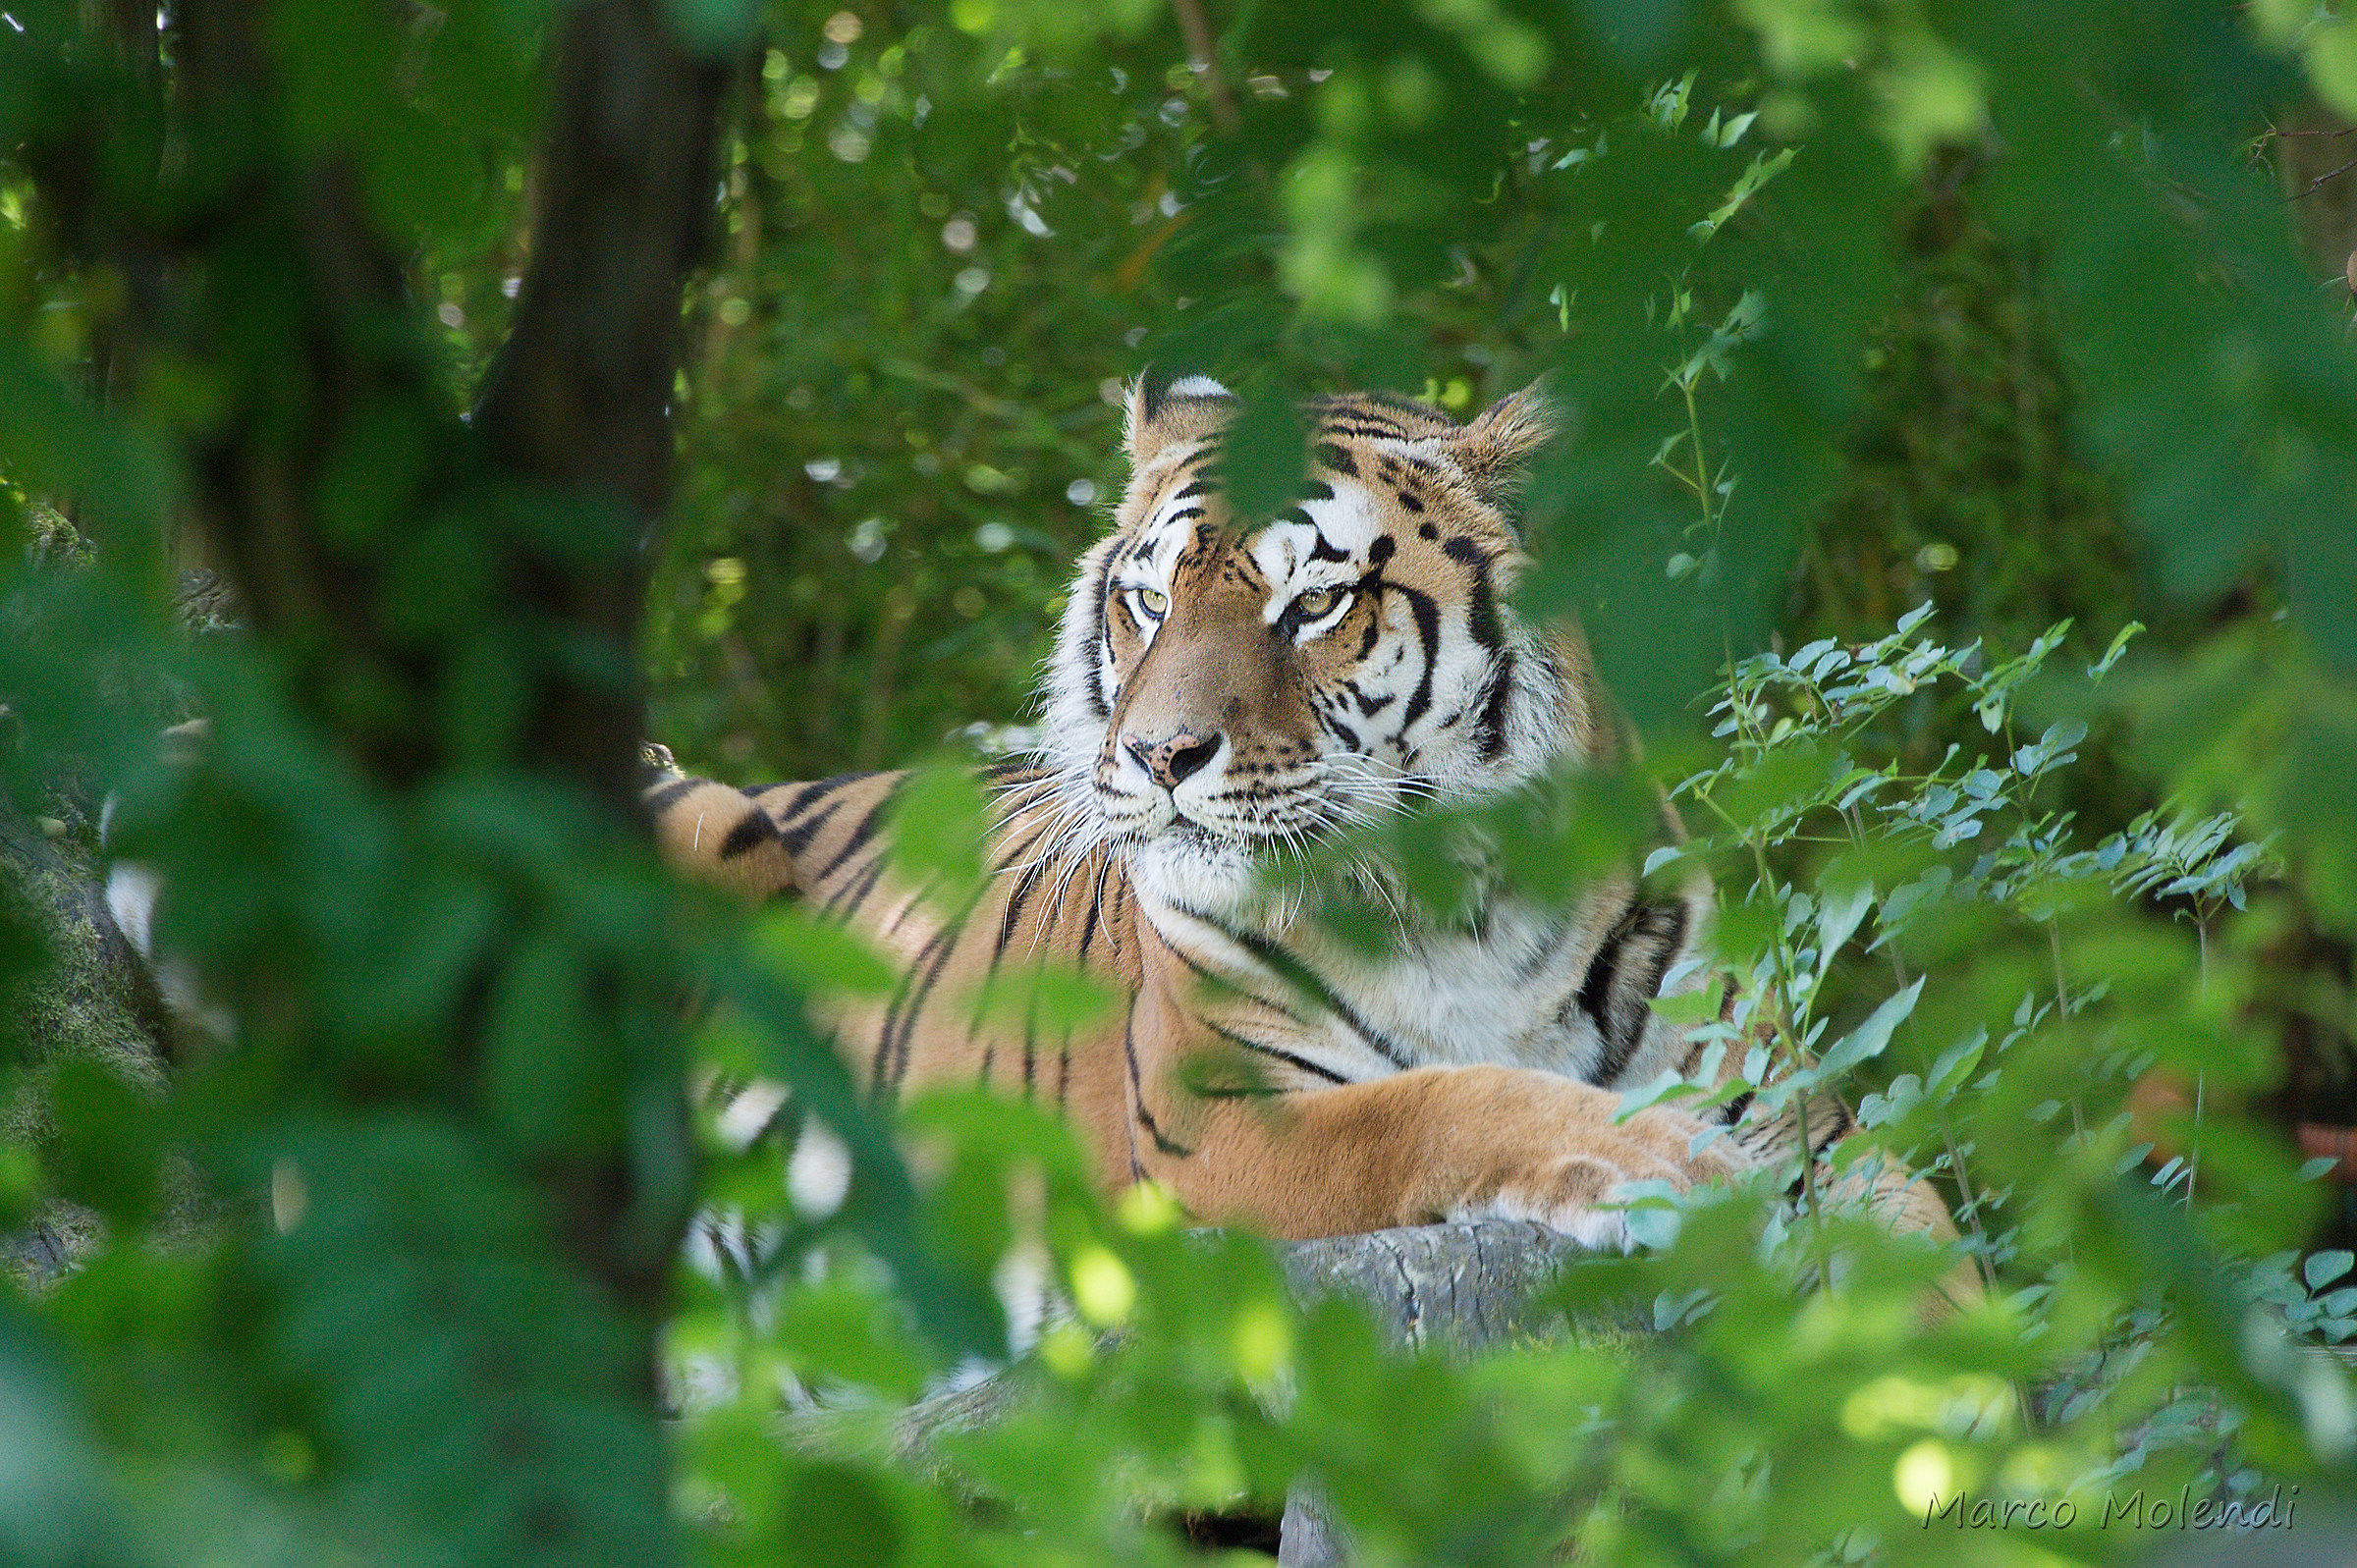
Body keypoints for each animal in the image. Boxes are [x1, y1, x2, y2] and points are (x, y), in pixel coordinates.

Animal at [652, 373, 1971, 1271]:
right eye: (1148, 600)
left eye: (1317, 603)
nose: (1160, 753)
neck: (1467, 909)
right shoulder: (1216, 1131)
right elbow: (1436, 1104)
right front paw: (1657, 1163)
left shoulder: (1801, 1105)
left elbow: (1925, 1225)